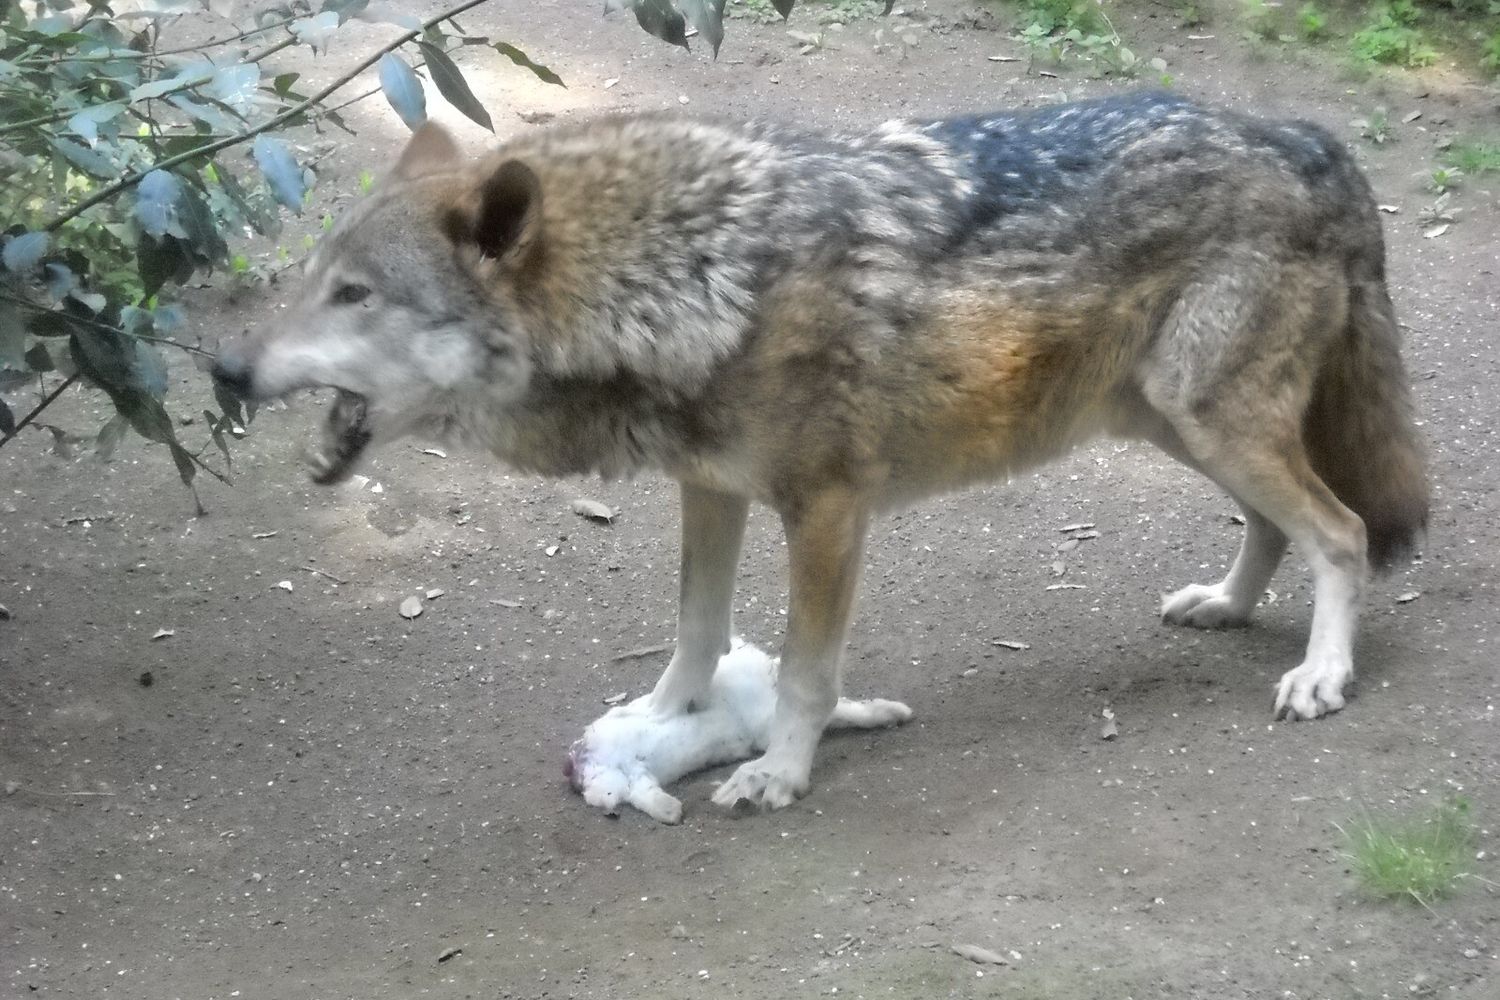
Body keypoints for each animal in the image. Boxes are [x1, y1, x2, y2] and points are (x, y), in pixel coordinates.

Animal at [214, 92, 1429, 812]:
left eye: (356, 294)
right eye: (313, 277)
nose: (222, 367)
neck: (690, 276)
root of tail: (1321, 141)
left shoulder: (829, 508)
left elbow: (803, 670)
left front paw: (780, 773)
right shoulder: (709, 489)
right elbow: (696, 634)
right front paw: (663, 721)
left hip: (1209, 420)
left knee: (1343, 530)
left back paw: (1322, 674)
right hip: (1178, 424)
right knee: (1281, 524)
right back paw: (1227, 607)